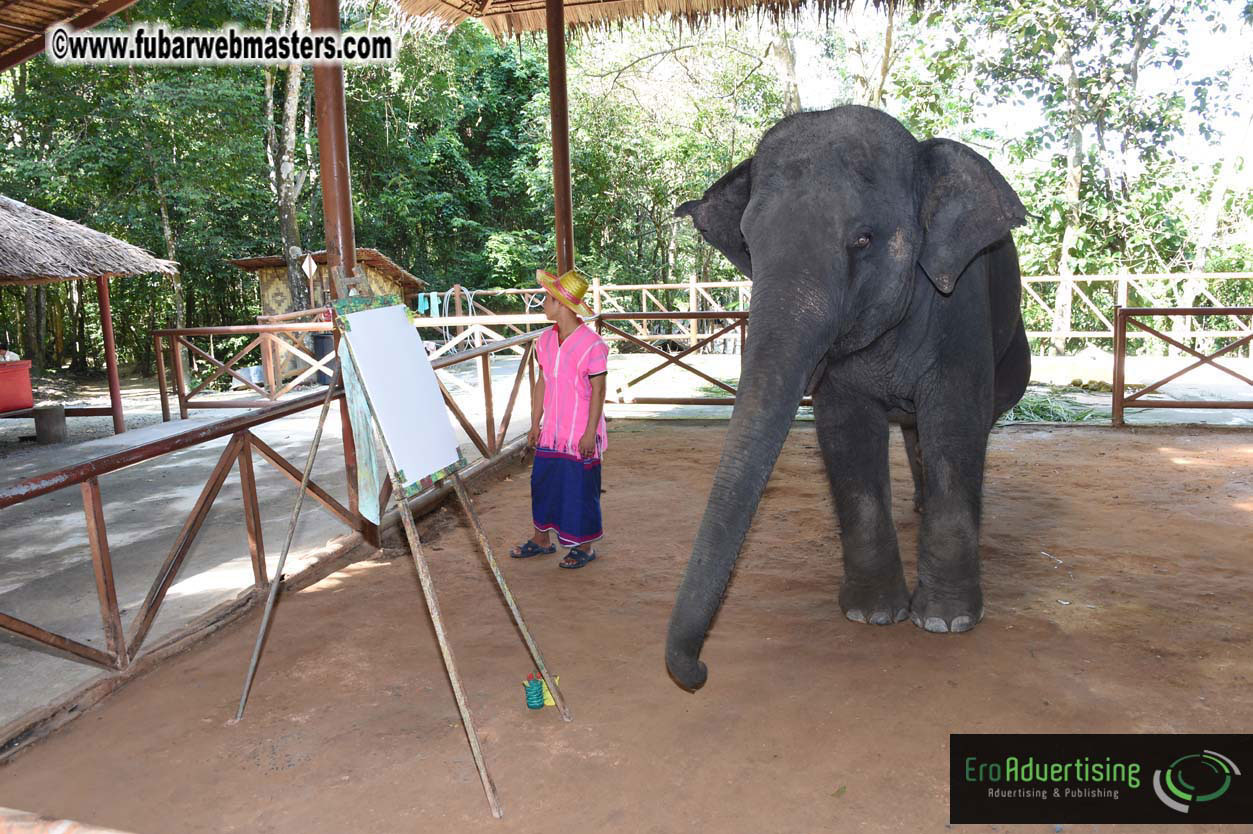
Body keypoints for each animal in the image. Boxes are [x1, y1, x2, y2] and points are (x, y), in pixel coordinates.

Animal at [665, 105, 1031, 691]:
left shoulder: (961, 304)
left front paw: (945, 621)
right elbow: (845, 430)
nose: (699, 670)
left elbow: (954, 423)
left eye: (862, 240)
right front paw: (873, 614)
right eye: (748, 243)